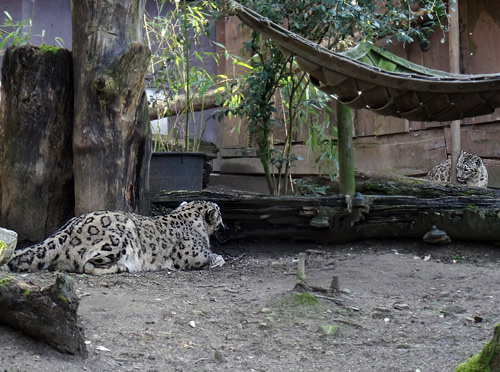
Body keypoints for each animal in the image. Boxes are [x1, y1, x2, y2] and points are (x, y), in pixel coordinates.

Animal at [5, 201, 224, 276]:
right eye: (220, 212)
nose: (223, 223)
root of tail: (66, 230)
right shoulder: (192, 256)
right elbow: (207, 256)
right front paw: (219, 258)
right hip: (119, 239)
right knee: (88, 266)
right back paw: (121, 267)